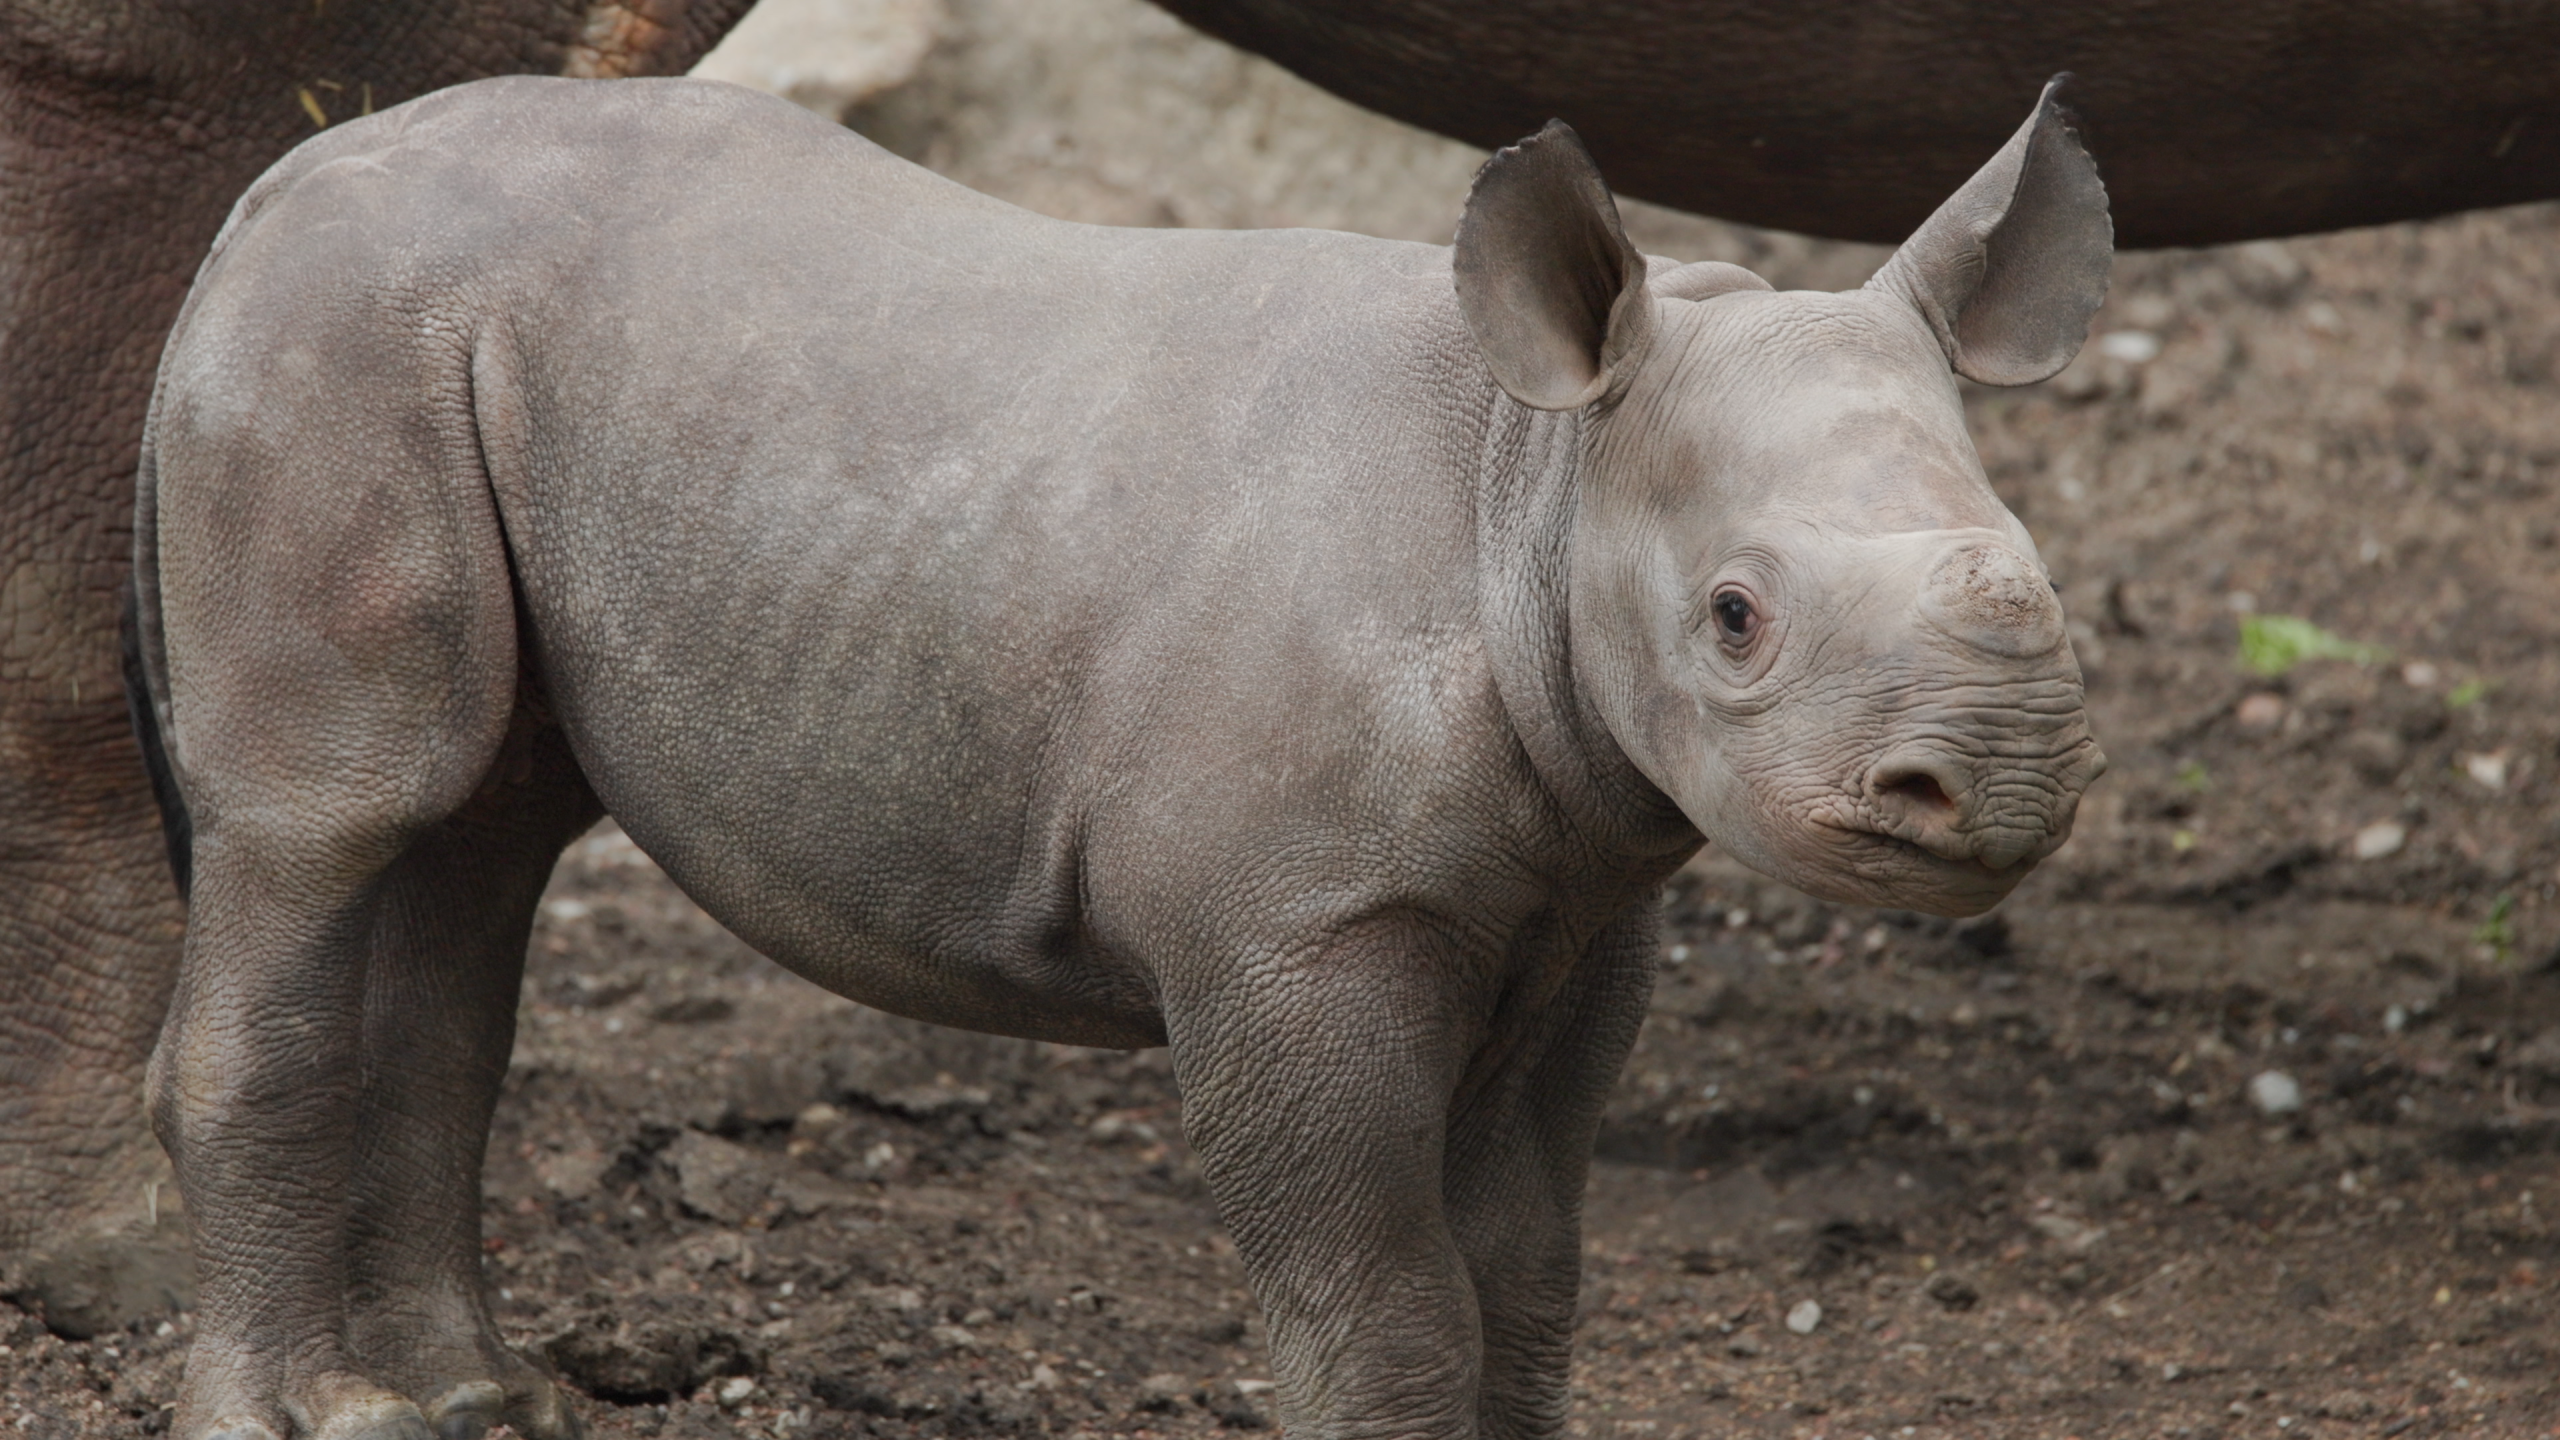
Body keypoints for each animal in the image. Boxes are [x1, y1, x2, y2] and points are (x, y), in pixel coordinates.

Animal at [133, 73, 2108, 1440]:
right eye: (1735, 618)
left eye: (2038, 557)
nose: (2002, 779)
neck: (1538, 478)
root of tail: (266, 191)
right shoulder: (1298, 936)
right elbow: (1385, 1300)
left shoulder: (1585, 898)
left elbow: (1533, 1271)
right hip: (334, 349)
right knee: (332, 821)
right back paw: (302, 1419)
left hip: (453, 354)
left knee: (475, 848)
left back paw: (484, 1400)